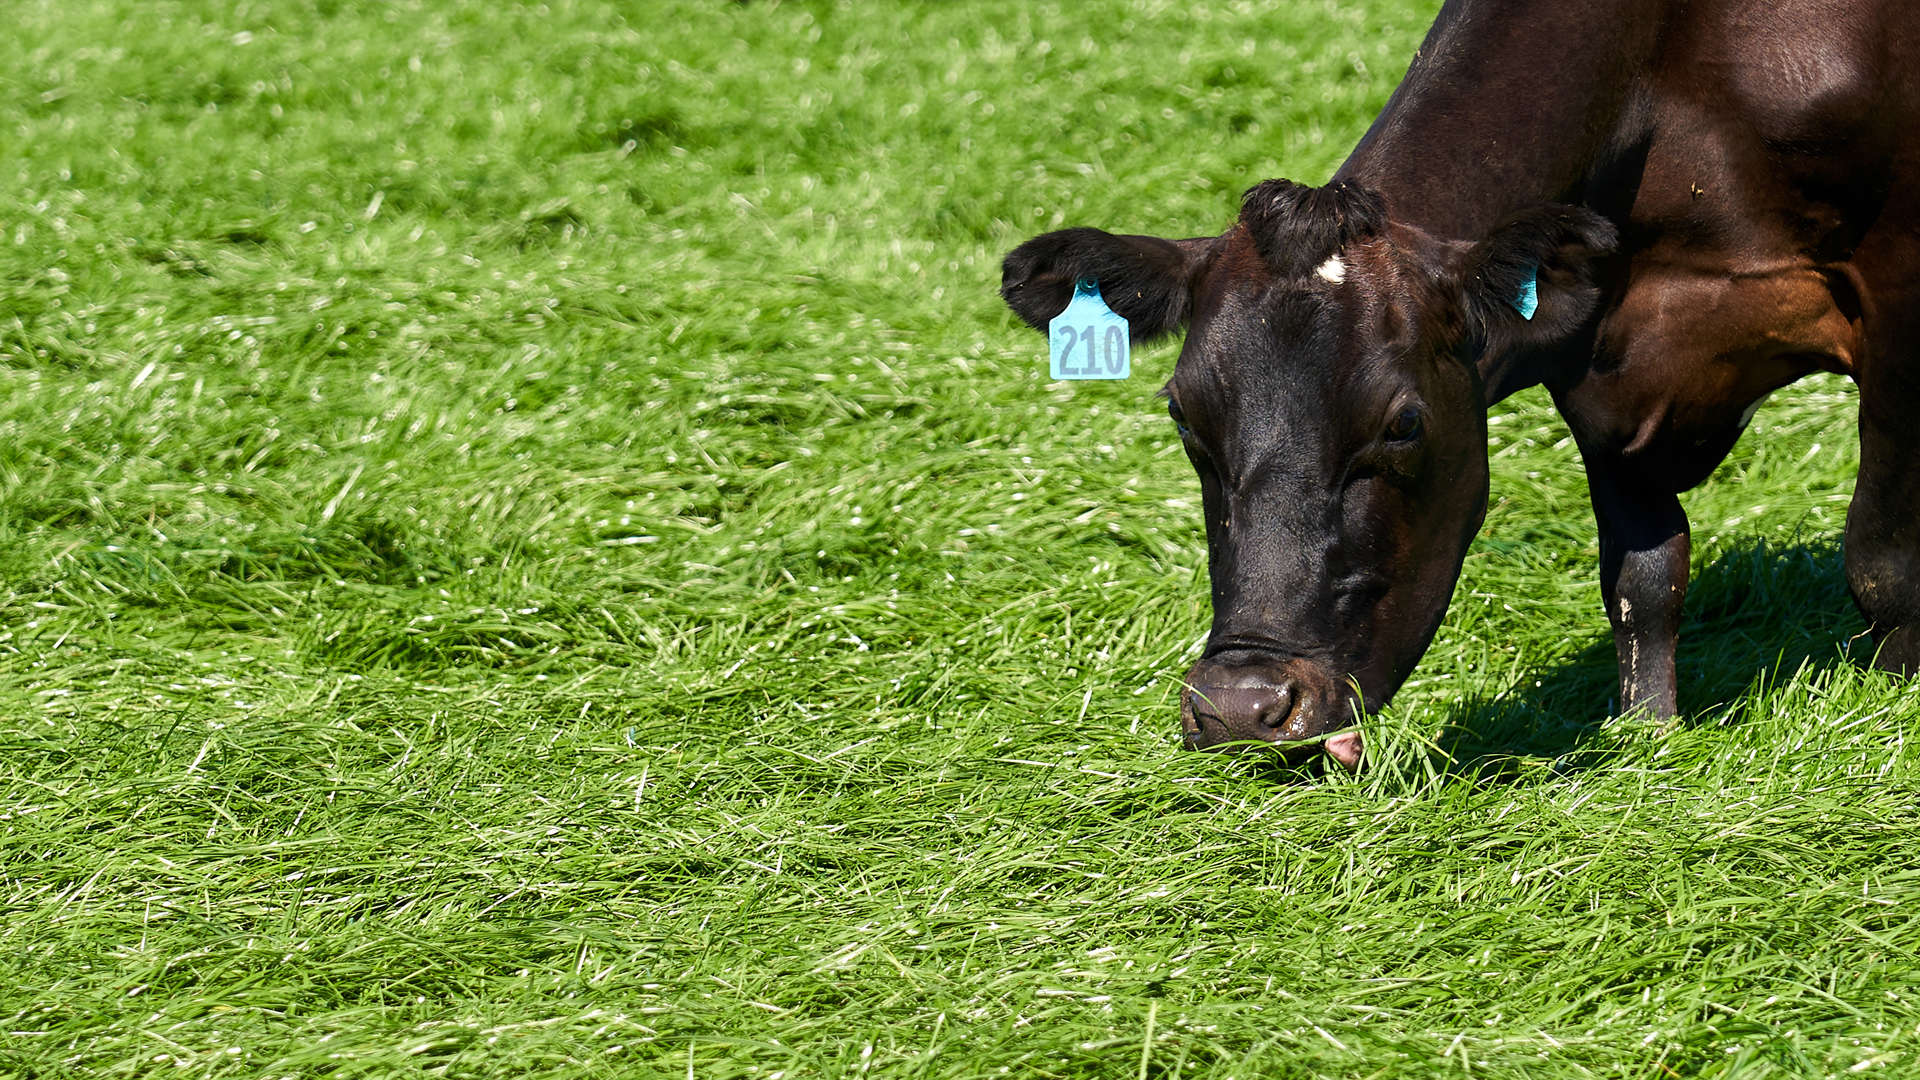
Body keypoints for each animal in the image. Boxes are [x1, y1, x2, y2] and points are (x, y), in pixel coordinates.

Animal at [999, 0, 1920, 770]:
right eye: (1185, 418)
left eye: (1402, 424)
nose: (1241, 706)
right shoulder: (1601, 371)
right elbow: (1644, 581)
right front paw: (1649, 739)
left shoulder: (1898, 292)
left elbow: (1882, 558)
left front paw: (1889, 711)